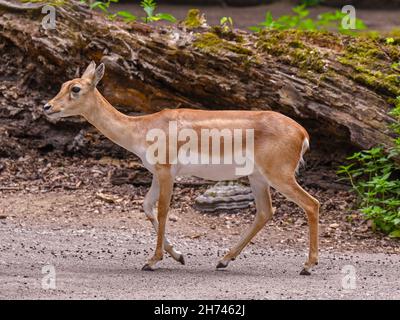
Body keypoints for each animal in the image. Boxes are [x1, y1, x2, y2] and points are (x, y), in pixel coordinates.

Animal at [43, 62, 320, 276]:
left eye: (76, 88)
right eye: (62, 84)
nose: (47, 107)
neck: (141, 130)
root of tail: (303, 135)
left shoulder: (166, 171)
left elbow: (163, 210)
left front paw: (152, 261)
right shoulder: (157, 172)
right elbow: (147, 206)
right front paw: (179, 255)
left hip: (279, 174)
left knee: (311, 203)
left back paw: (307, 266)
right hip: (257, 177)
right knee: (265, 211)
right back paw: (223, 260)